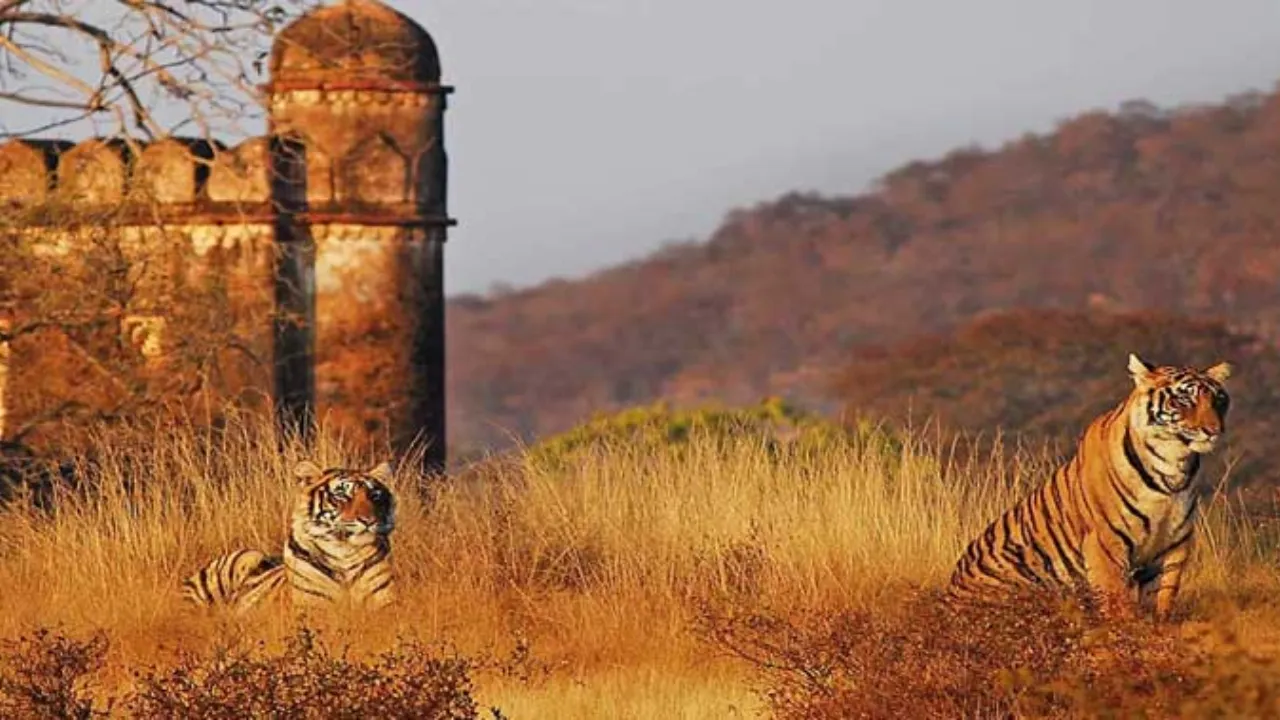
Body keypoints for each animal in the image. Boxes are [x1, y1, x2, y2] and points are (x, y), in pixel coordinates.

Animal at [952, 351, 1228, 620]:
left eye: (1219, 401)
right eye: (1183, 400)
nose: (1213, 431)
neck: (1172, 466)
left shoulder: (1173, 544)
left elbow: (1163, 599)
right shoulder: (1106, 542)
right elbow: (1117, 603)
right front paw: (1125, 629)